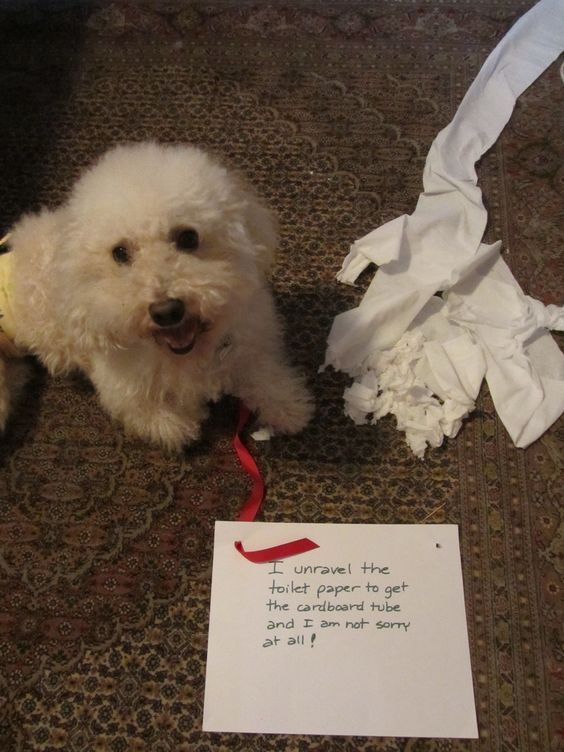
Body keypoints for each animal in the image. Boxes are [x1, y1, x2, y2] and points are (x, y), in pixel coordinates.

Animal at [1, 141, 312, 446]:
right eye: (120, 253)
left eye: (188, 237)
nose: (167, 311)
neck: (189, 353)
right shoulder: (120, 390)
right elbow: (154, 417)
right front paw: (183, 422)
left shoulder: (247, 343)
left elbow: (264, 375)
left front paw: (289, 406)